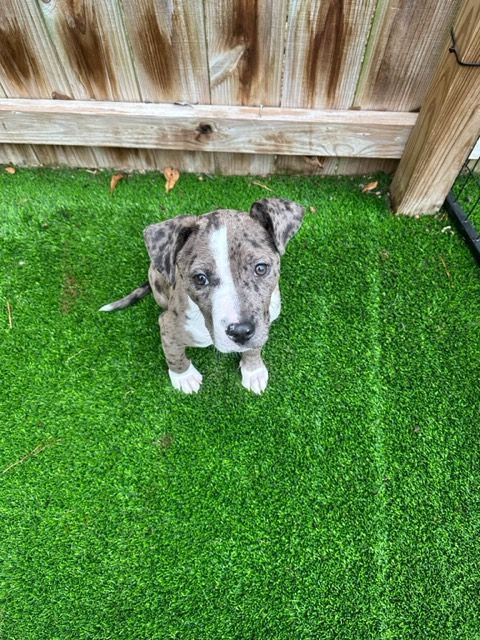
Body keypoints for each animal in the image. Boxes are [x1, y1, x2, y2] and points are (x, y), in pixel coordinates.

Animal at [100, 198, 304, 394]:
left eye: (261, 268)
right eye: (200, 278)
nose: (240, 332)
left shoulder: (264, 320)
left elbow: (255, 346)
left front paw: (253, 370)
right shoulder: (168, 325)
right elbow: (173, 352)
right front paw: (183, 376)